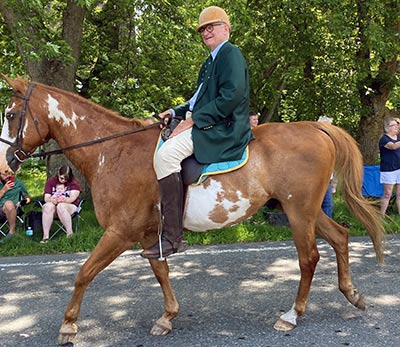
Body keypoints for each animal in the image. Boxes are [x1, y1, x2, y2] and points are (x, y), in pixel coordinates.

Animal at [0, 76, 384, 346]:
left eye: (11, 114)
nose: (4, 167)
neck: (113, 152)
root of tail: (316, 126)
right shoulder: (147, 234)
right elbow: (160, 271)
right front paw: (167, 317)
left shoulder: (120, 232)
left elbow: (83, 273)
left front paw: (68, 326)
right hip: (306, 210)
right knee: (340, 237)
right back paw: (353, 294)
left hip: (299, 211)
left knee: (309, 258)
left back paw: (292, 314)